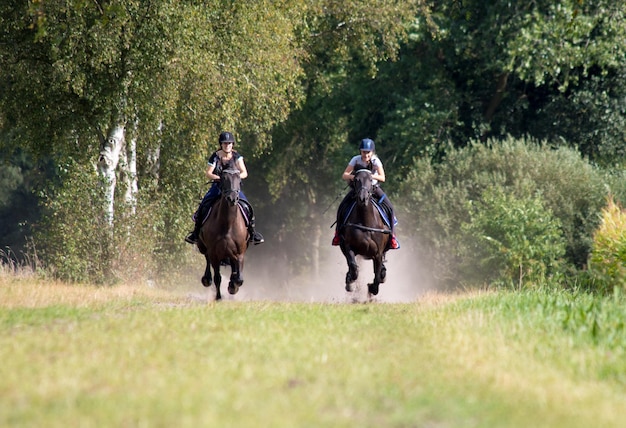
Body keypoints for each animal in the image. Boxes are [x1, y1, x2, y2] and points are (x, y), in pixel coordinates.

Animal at [196, 166, 247, 300]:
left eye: (239, 179)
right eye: (224, 178)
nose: (232, 198)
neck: (227, 225)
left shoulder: (240, 253)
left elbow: (239, 278)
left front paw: (232, 287)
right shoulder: (214, 253)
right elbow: (217, 277)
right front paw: (218, 297)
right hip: (202, 246)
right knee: (207, 259)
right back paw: (206, 279)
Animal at [338, 166, 388, 296]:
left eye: (371, 179)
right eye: (356, 179)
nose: (362, 198)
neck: (365, 221)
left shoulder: (378, 253)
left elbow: (377, 273)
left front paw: (372, 287)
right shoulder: (349, 246)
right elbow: (353, 267)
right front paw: (350, 283)